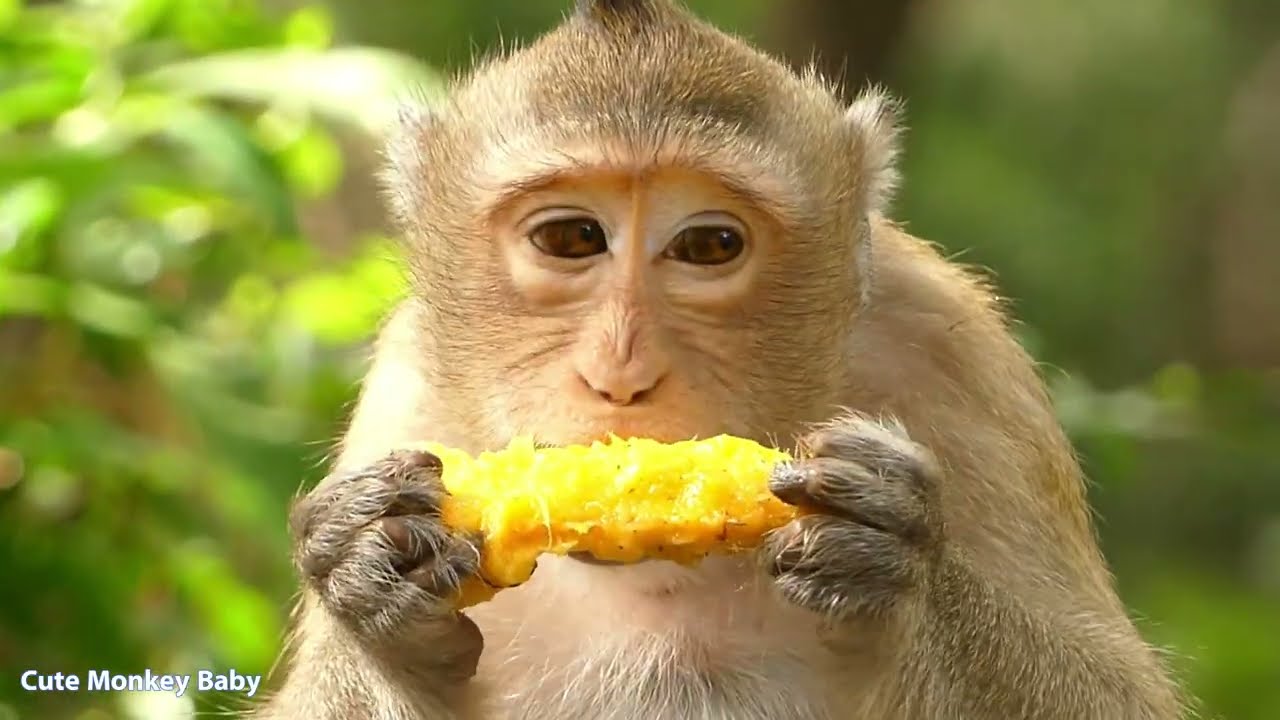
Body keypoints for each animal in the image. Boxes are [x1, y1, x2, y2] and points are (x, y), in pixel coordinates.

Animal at [258, 1, 1188, 718]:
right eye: (571, 238)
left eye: (708, 246)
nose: (622, 375)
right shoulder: (402, 391)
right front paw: (372, 579)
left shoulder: (961, 356)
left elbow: (1115, 696)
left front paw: (892, 565)